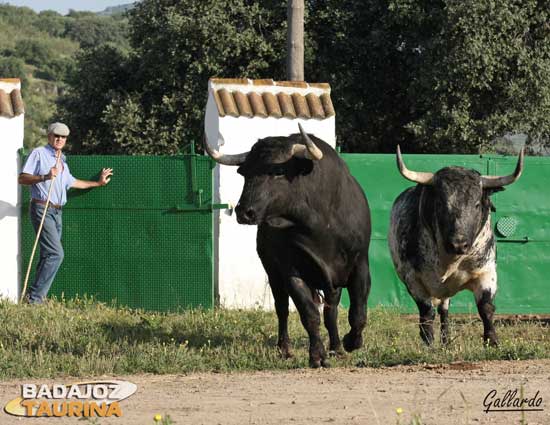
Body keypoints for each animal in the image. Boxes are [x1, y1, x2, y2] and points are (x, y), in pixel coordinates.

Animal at [205, 124, 374, 366]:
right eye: (245, 173)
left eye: (277, 172)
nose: (244, 212)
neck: (320, 224)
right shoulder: (290, 270)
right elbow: (309, 313)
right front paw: (317, 355)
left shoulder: (359, 263)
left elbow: (357, 312)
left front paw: (351, 342)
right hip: (272, 271)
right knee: (282, 308)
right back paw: (284, 349)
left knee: (330, 311)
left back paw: (337, 347)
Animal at [390, 147, 524, 346]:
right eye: (439, 204)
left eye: (476, 204)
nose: (458, 244)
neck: (449, 261)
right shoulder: (413, 279)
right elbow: (426, 313)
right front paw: (428, 342)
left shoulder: (486, 272)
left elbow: (486, 308)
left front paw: (492, 341)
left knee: (444, 311)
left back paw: (446, 341)